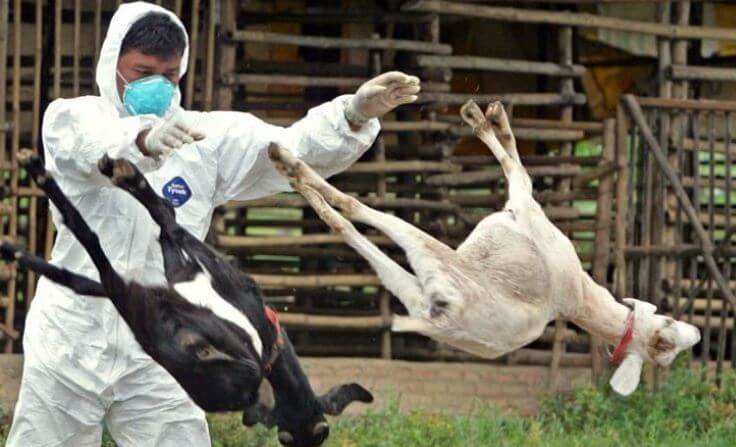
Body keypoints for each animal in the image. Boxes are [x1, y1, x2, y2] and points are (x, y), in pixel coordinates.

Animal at [268, 100, 701, 396]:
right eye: (670, 323)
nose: (695, 333)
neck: (578, 294)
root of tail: (439, 319)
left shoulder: (524, 206)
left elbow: (518, 171)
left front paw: (479, 117)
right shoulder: (523, 209)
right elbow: (516, 163)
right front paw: (492, 116)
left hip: (433, 264)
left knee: (355, 210)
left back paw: (290, 164)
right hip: (412, 289)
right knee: (348, 228)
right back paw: (299, 180)